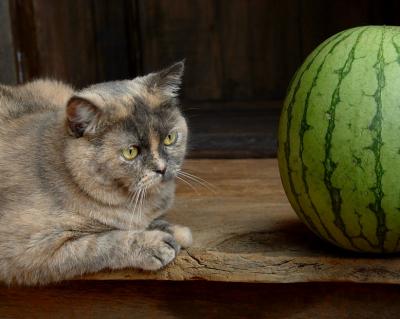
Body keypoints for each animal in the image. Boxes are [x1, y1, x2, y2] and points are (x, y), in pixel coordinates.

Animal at [0, 61, 192, 286]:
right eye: (130, 152)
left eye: (170, 138)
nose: (162, 168)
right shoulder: (29, 249)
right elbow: (102, 243)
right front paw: (156, 243)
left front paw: (176, 231)